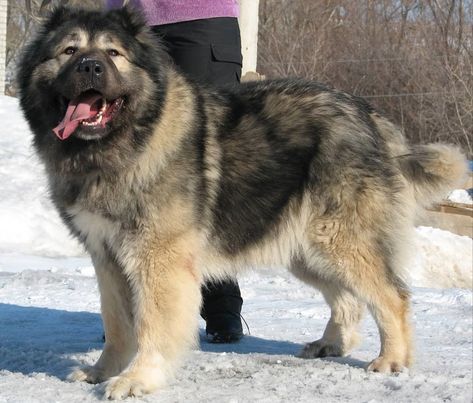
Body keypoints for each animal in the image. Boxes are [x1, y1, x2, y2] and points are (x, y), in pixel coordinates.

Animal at [16, 5, 466, 400]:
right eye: (69, 51)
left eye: (112, 54)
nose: (90, 67)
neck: (121, 144)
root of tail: (369, 115)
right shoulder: (107, 256)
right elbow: (118, 323)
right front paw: (103, 370)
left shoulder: (156, 258)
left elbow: (153, 325)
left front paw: (138, 378)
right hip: (305, 248)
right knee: (348, 298)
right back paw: (331, 343)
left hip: (337, 238)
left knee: (392, 296)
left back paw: (392, 359)